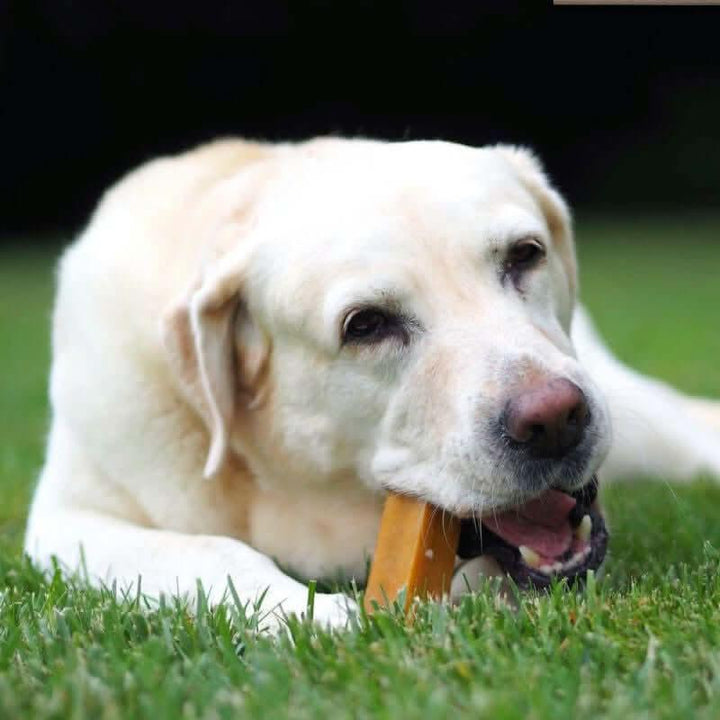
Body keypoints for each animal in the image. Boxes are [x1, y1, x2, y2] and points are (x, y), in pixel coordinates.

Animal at [25, 138, 720, 628]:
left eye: (525, 255)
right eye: (366, 325)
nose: (553, 418)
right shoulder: (65, 522)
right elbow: (205, 552)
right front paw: (322, 616)